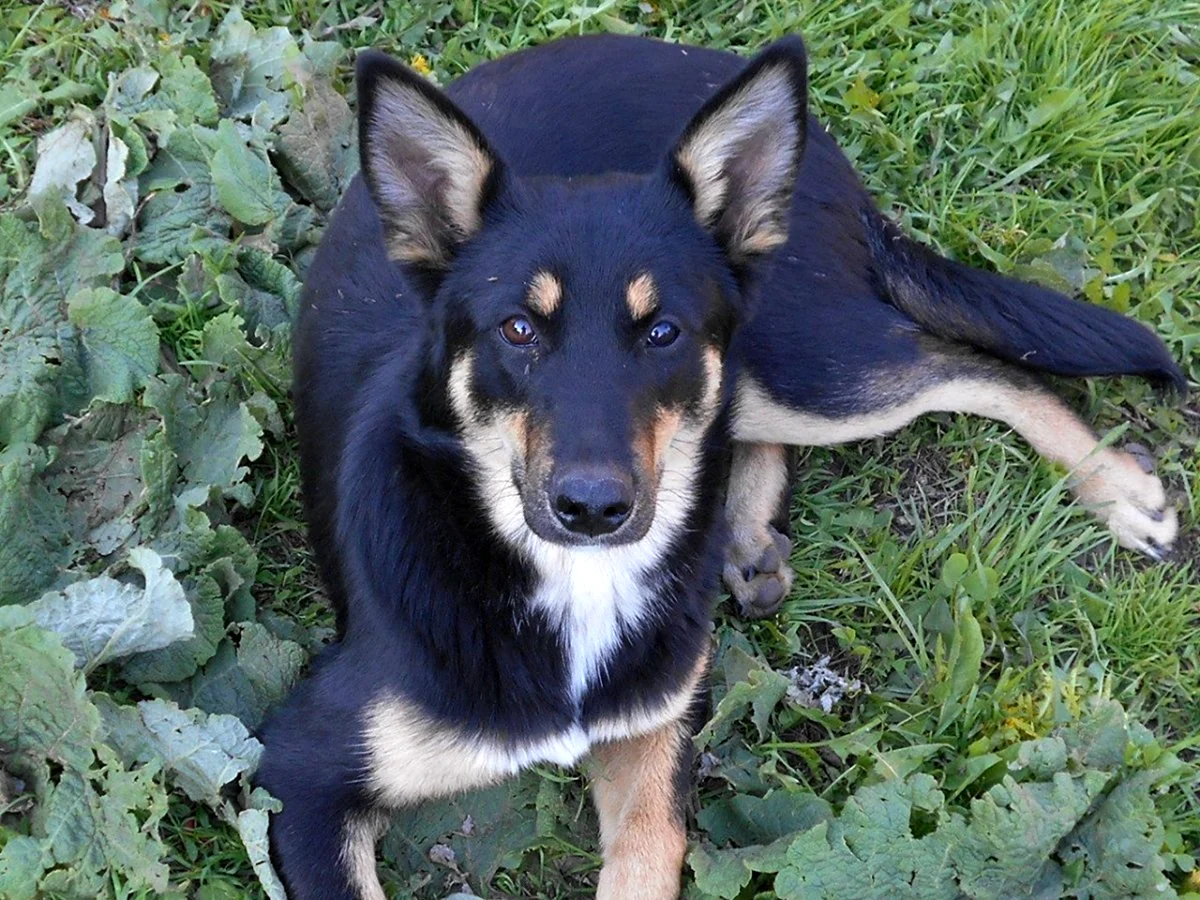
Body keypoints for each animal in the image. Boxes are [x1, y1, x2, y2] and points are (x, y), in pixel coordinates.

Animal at [258, 31, 1185, 897]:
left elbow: (648, 851)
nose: (592, 508)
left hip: (804, 358)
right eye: (517, 329)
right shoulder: (300, 774)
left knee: (977, 368)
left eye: (661, 330)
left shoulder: (657, 726)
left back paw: (1122, 489)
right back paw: (745, 541)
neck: (567, 582)